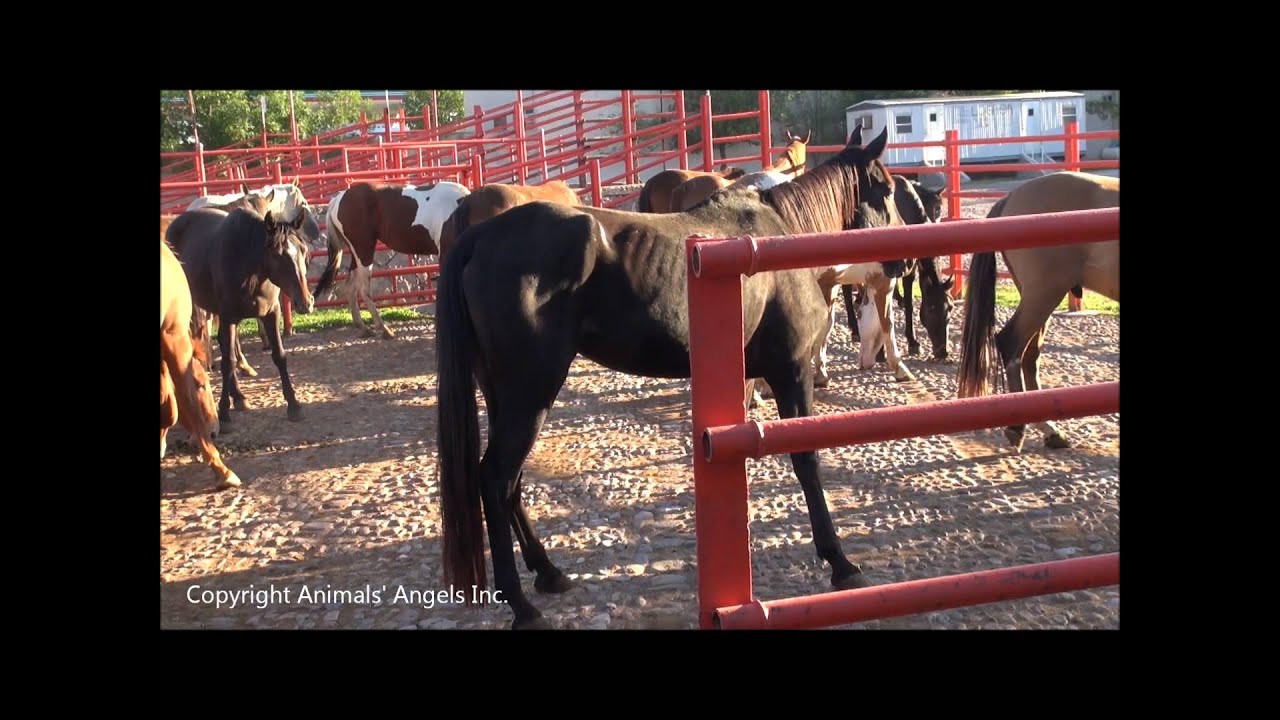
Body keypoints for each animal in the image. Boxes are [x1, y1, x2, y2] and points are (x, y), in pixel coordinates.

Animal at [164, 207, 315, 423]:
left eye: (303, 250)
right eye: (277, 254)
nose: (305, 302)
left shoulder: (271, 313)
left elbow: (279, 355)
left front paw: (294, 405)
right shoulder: (229, 317)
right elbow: (228, 362)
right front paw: (224, 412)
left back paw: (239, 397)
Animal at [313, 180, 471, 339]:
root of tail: (338, 198)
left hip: (356, 253)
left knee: (350, 288)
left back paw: (363, 328)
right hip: (364, 251)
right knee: (363, 290)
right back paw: (383, 329)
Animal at [956, 171, 1119, 451]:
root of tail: (1010, 198)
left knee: (1030, 355)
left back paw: (1049, 430)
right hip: (1043, 294)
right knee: (1011, 344)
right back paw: (1018, 428)